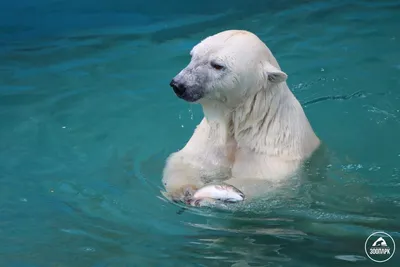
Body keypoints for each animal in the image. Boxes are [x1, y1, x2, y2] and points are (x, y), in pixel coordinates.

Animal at [161, 29, 320, 203]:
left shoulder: (273, 146)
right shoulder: (211, 138)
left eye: (217, 65)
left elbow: (260, 180)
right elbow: (187, 161)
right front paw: (185, 190)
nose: (178, 85)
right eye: (193, 55)